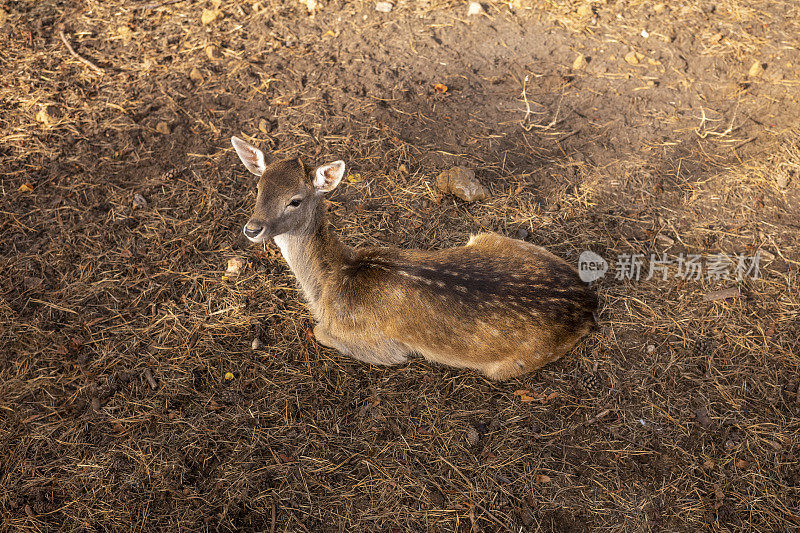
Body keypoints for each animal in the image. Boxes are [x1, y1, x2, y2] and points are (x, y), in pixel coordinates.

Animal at [230, 136, 592, 378]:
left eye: (295, 200)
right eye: (258, 187)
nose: (252, 228)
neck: (331, 283)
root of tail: (586, 302)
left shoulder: (378, 346)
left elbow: (319, 332)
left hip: (509, 365)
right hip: (489, 236)